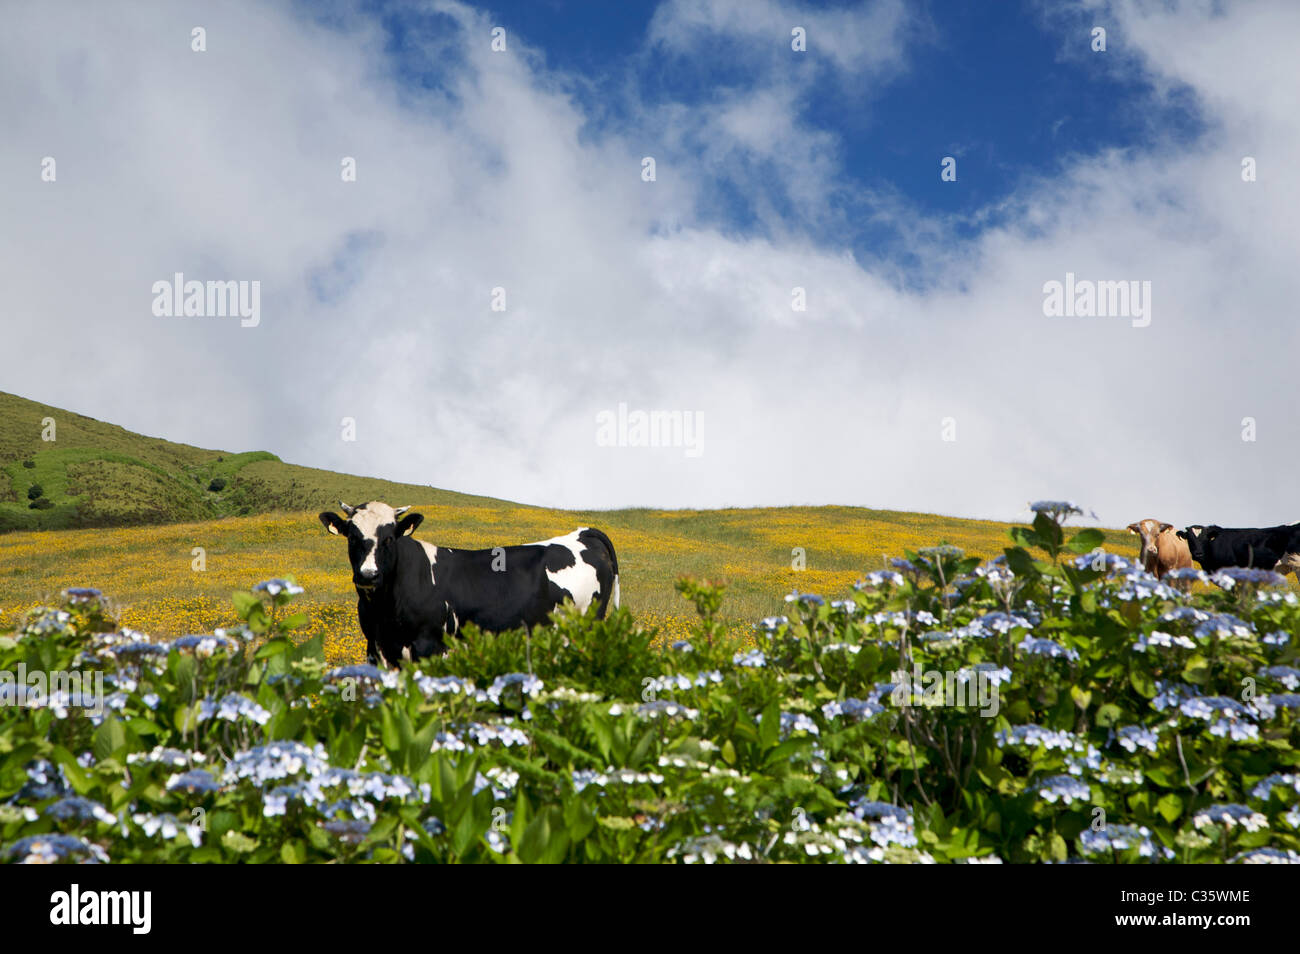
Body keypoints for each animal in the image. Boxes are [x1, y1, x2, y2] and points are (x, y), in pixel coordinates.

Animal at [315, 504, 618, 670]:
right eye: (352, 537)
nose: (368, 575)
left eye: (389, 538)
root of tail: (581, 533)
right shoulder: (375, 646)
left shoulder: (428, 645)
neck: (385, 608)